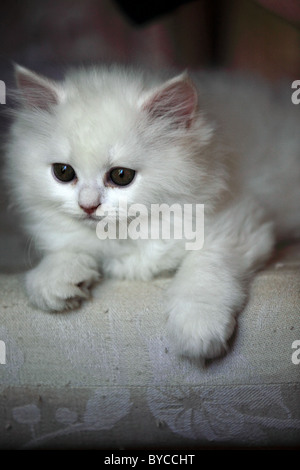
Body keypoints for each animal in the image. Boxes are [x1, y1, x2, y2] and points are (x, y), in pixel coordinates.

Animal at [4, 64, 300, 358]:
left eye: (121, 175)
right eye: (63, 172)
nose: (88, 205)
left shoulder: (237, 225)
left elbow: (204, 270)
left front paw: (198, 327)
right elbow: (66, 249)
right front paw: (53, 280)